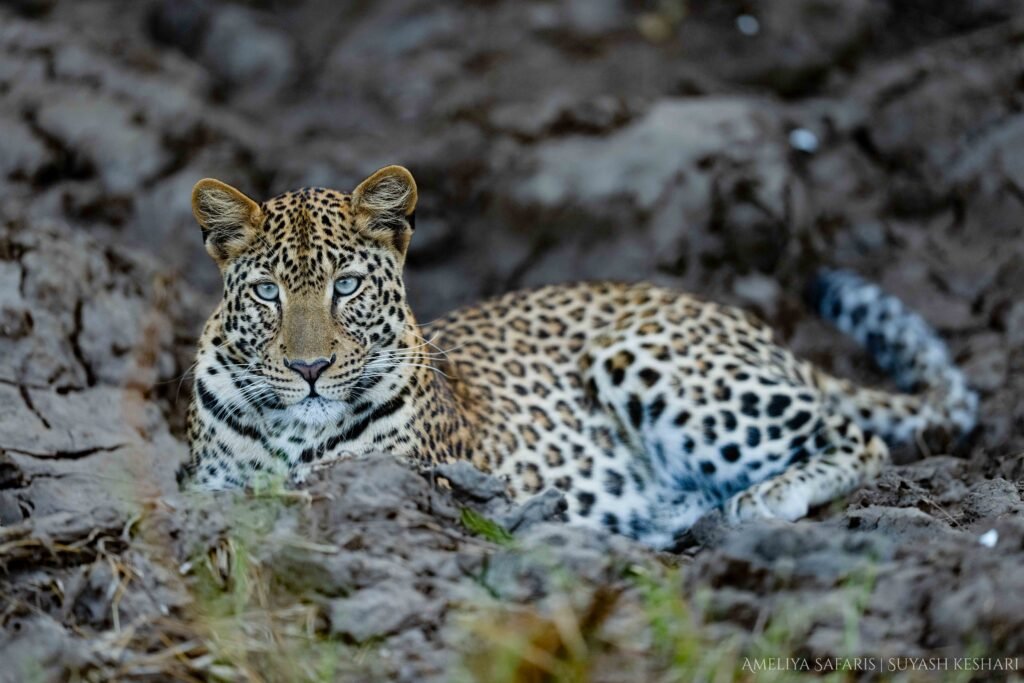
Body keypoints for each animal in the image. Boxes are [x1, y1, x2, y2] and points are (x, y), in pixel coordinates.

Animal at [179, 165, 977, 549]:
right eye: (267, 293)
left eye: (345, 286)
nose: (310, 370)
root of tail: (731, 312)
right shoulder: (208, 487)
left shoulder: (409, 483)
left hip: (648, 359)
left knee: (859, 438)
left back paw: (763, 501)